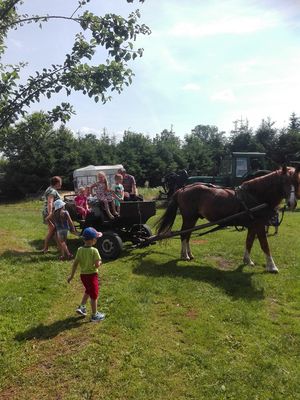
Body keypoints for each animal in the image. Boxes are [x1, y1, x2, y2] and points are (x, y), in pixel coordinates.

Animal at [157, 167, 300, 274]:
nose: (292, 203)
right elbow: (265, 245)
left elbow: (249, 242)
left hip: (193, 218)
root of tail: (182, 189)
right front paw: (272, 267)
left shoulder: (253, 225)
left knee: (187, 235)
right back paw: (184, 255)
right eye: (285, 182)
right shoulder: (259, 225)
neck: (255, 195)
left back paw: (189, 254)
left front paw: (247, 260)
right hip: (189, 217)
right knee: (184, 234)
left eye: (297, 181)